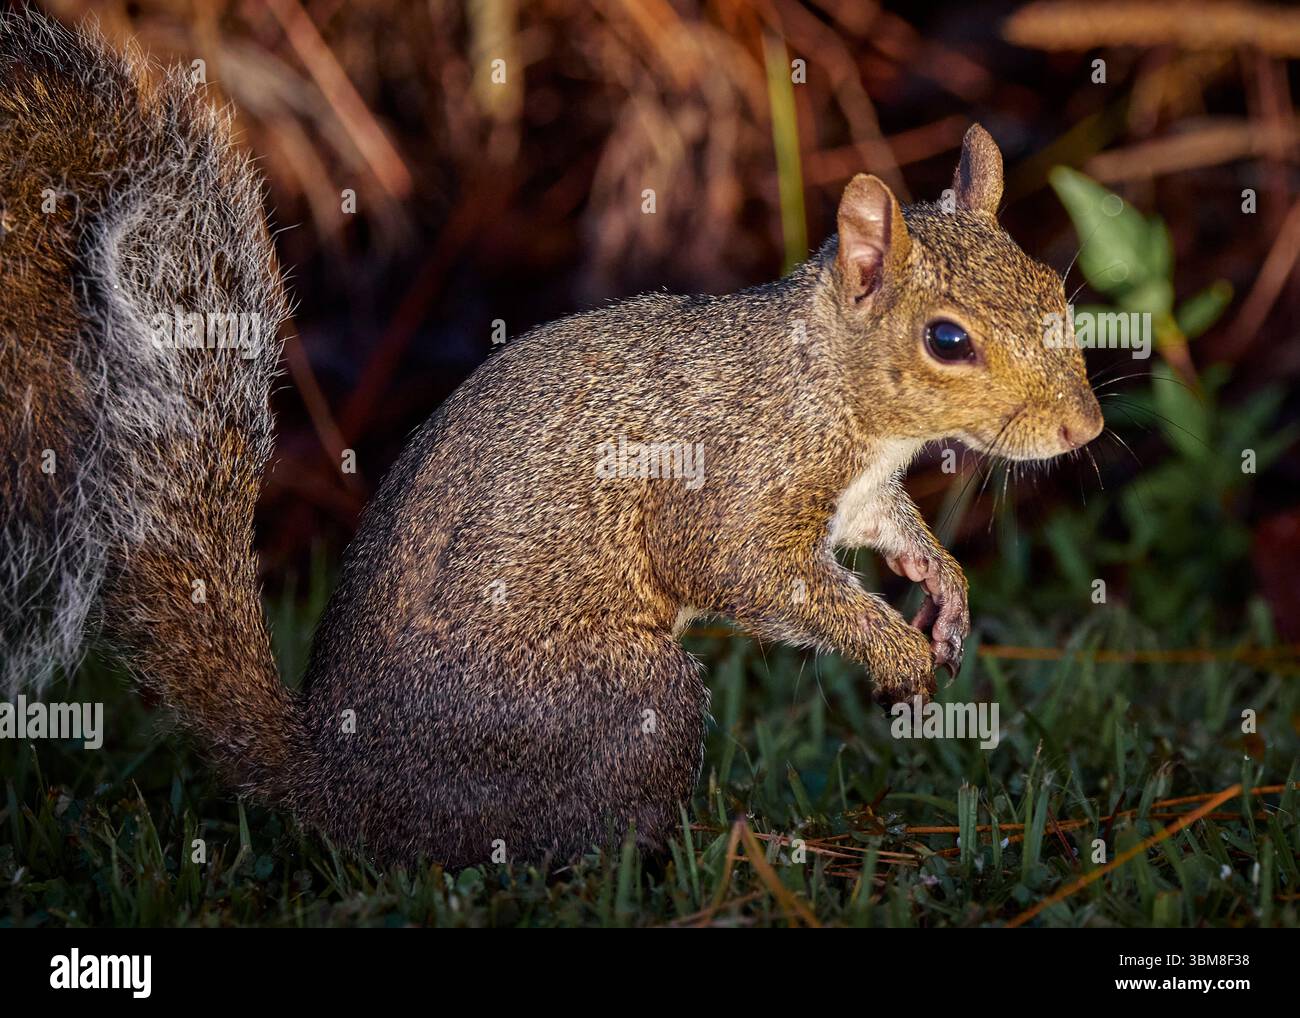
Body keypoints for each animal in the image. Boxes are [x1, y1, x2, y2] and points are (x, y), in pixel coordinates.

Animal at [0, 11, 1103, 867]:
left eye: (1054, 293)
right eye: (947, 341)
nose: (1083, 425)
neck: (830, 385)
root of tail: (334, 778)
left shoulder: (859, 487)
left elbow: (888, 529)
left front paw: (944, 590)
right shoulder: (738, 476)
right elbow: (744, 568)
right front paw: (889, 647)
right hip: (617, 706)